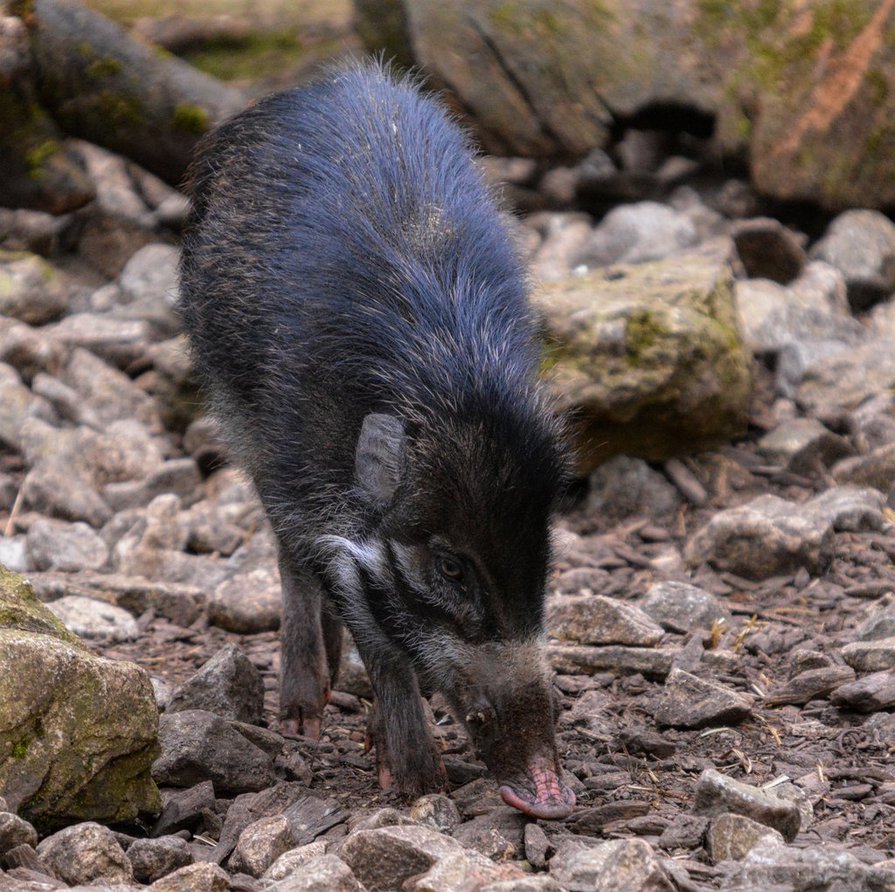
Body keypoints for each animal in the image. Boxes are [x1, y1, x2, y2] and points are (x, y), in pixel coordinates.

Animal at [178, 61, 575, 819]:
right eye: (450, 568)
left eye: (542, 552)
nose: (548, 796)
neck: (447, 374)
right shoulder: (302, 472)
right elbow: (367, 617)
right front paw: (417, 786)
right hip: (237, 412)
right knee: (287, 554)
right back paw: (301, 718)